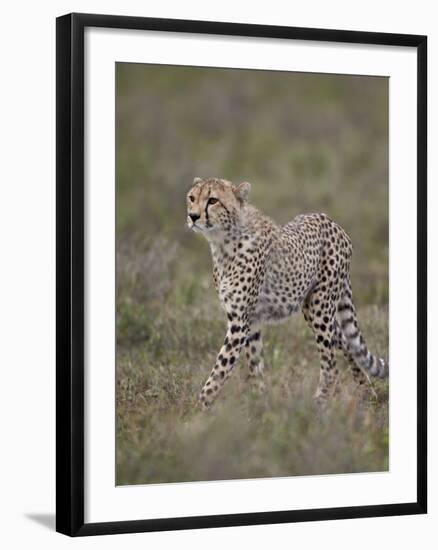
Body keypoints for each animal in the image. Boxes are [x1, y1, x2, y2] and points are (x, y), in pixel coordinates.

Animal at [186, 177, 388, 410]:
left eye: (213, 200)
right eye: (192, 198)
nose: (193, 216)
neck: (223, 242)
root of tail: (330, 220)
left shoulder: (239, 322)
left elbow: (219, 370)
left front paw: (197, 409)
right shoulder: (252, 320)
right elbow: (255, 366)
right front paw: (260, 403)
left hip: (318, 307)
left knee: (331, 364)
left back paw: (318, 405)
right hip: (318, 311)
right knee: (347, 343)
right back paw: (368, 392)